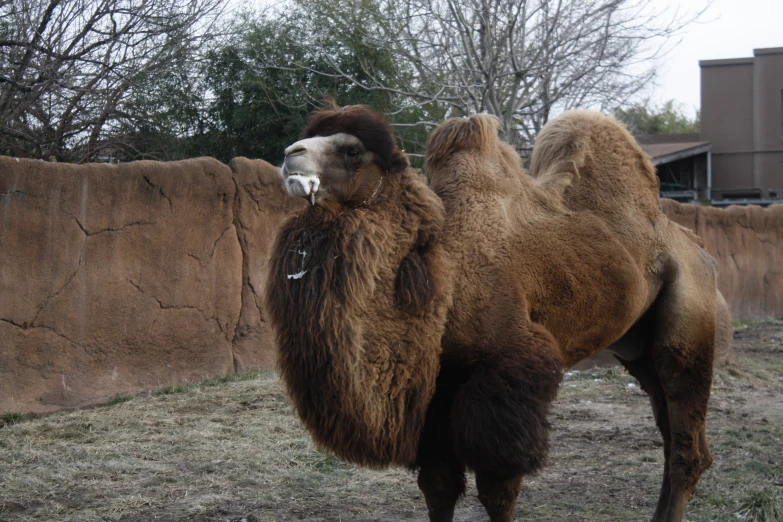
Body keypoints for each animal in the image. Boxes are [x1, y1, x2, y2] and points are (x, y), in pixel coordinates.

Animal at [266, 102, 720, 520]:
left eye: (352, 151)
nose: (290, 154)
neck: (442, 277)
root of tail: (694, 244)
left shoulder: (508, 369)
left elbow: (497, 488)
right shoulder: (435, 388)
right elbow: (438, 486)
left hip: (689, 323)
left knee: (686, 444)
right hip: (638, 347)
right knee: (673, 434)